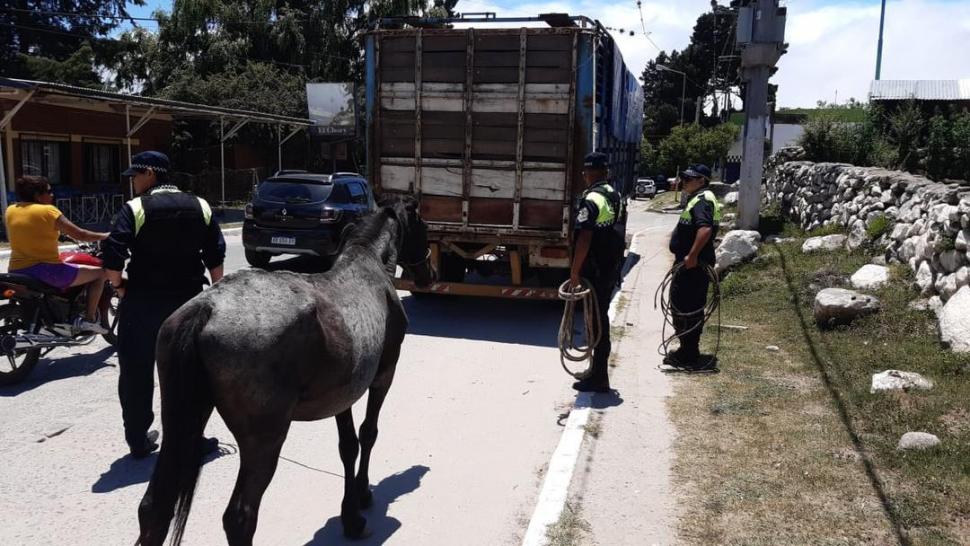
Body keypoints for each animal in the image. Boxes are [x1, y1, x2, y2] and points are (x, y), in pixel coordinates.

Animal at [132, 193, 432, 540]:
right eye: (425, 228)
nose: (428, 274)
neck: (367, 263)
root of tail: (206, 309)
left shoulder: (343, 392)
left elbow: (348, 445)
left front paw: (351, 514)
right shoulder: (383, 375)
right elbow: (368, 433)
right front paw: (363, 496)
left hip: (181, 421)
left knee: (152, 509)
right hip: (264, 439)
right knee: (239, 517)